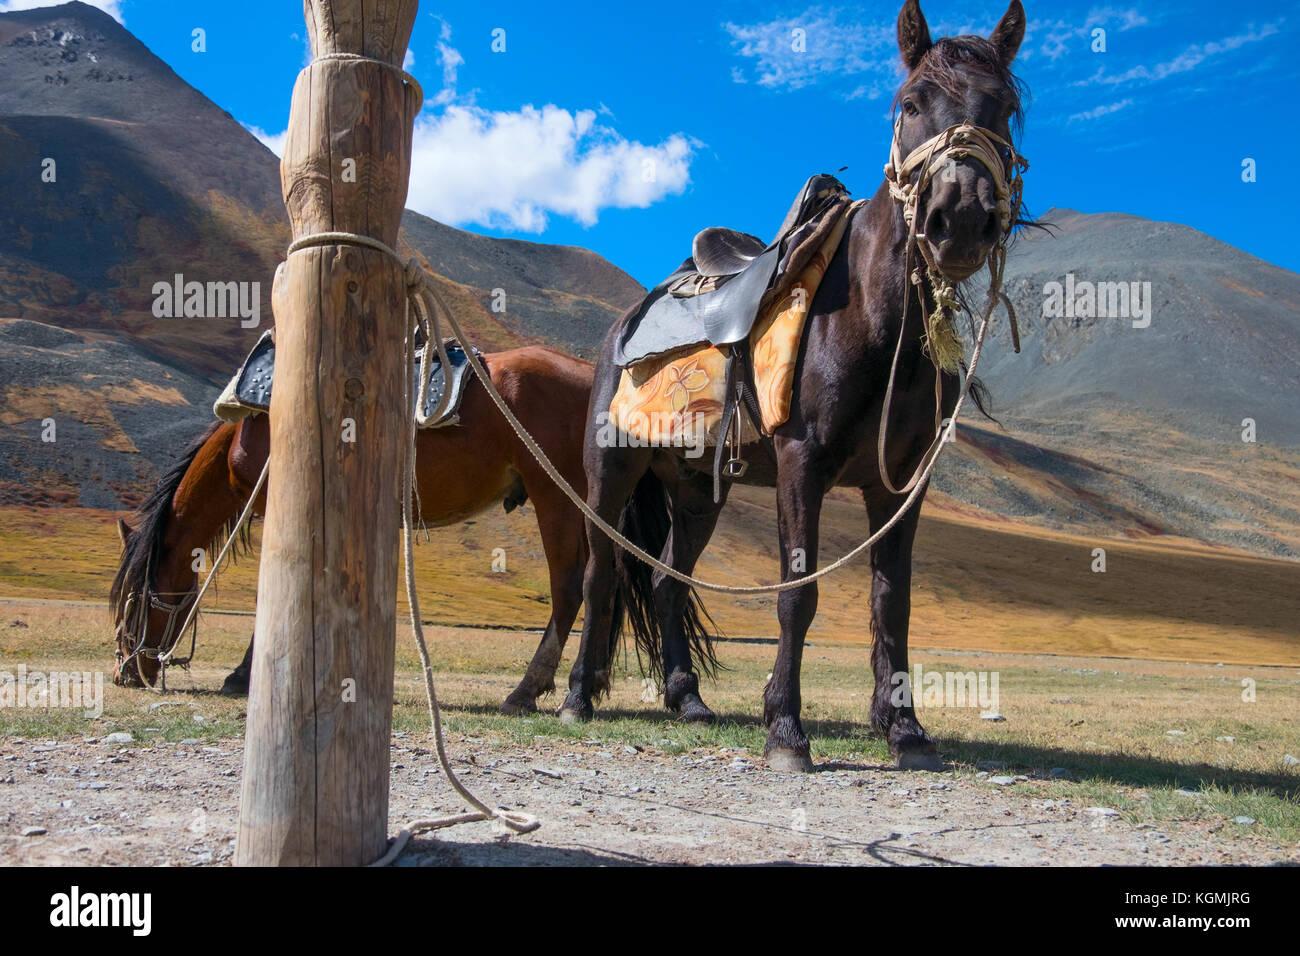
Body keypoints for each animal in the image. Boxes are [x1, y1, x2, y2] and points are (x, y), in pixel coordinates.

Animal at [110, 345, 609, 714]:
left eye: (132, 599)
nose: (125, 671)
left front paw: (241, 676)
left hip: (555, 495)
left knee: (570, 587)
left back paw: (529, 691)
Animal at [558, 0, 1031, 771]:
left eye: (1006, 109)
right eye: (910, 103)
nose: (959, 220)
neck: (873, 315)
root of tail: (626, 321)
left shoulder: (900, 484)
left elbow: (891, 601)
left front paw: (905, 729)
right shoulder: (801, 463)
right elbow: (796, 596)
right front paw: (785, 728)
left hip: (696, 491)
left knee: (665, 580)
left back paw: (688, 700)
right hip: (613, 470)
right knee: (602, 573)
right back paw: (576, 696)